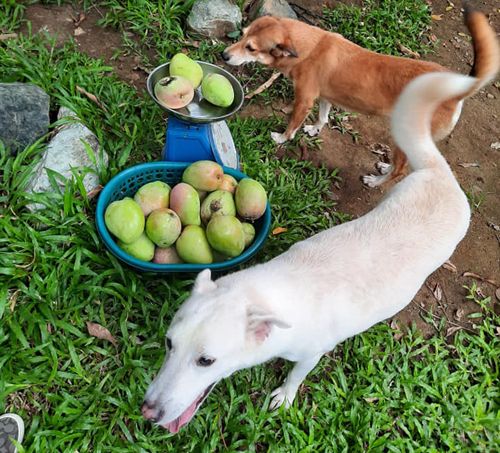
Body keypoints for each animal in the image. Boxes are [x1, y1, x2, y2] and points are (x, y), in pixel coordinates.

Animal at [141, 39, 498, 432]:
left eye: (207, 361)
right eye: (169, 343)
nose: (147, 411)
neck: (275, 294)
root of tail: (441, 173)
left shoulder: (311, 353)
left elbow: (296, 375)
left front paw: (284, 396)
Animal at [221, 5, 498, 187]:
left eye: (251, 48)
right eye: (242, 34)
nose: (224, 55)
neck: (309, 47)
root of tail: (459, 87)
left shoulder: (303, 100)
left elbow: (291, 127)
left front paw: (281, 138)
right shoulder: (325, 97)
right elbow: (323, 117)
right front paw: (315, 129)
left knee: (400, 171)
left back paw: (376, 181)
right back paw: (384, 167)